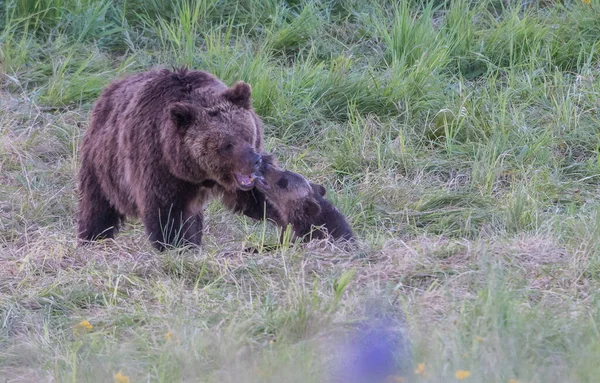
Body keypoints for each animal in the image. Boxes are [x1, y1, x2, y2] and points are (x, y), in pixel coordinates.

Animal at [77, 67, 278, 250]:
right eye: (226, 145)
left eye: (246, 135)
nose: (255, 161)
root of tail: (110, 88)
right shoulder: (158, 164)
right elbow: (167, 211)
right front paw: (176, 245)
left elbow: (260, 195)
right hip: (104, 163)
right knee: (97, 204)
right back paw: (92, 237)